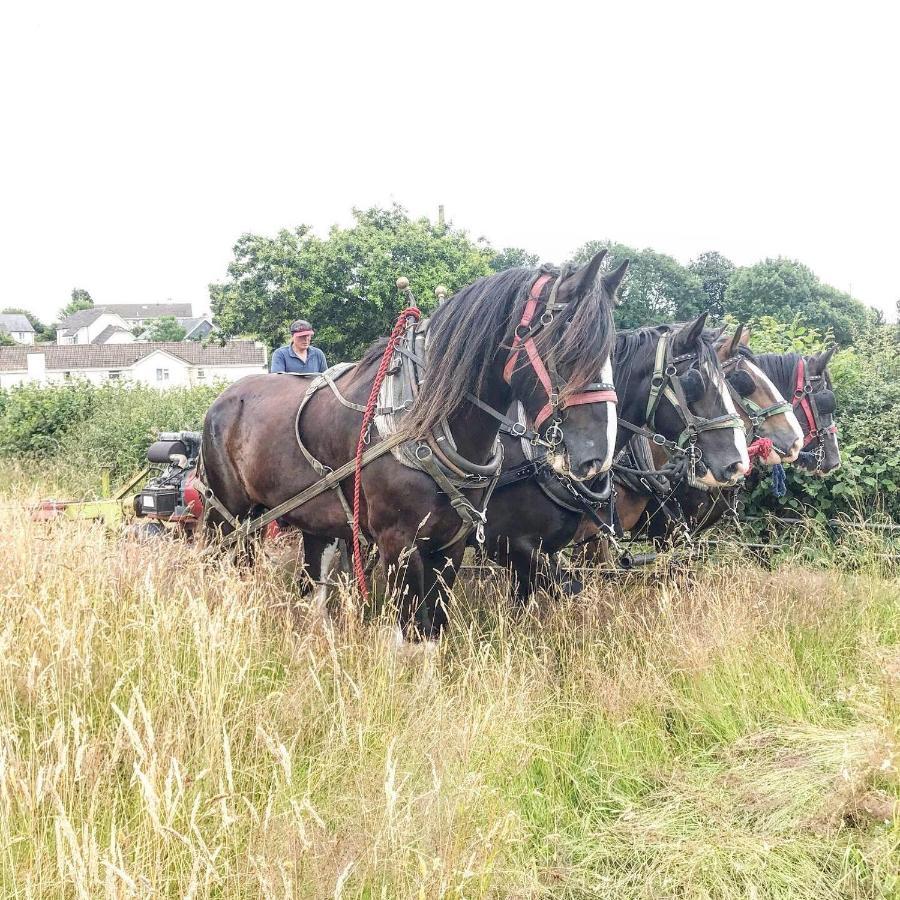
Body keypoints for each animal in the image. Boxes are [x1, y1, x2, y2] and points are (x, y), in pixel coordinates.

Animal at [201, 253, 620, 640]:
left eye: (609, 351)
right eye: (567, 348)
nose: (595, 458)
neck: (423, 421)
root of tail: (222, 400)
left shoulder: (451, 544)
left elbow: (435, 629)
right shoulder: (399, 544)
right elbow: (411, 633)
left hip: (312, 520)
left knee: (314, 578)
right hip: (232, 520)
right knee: (227, 567)